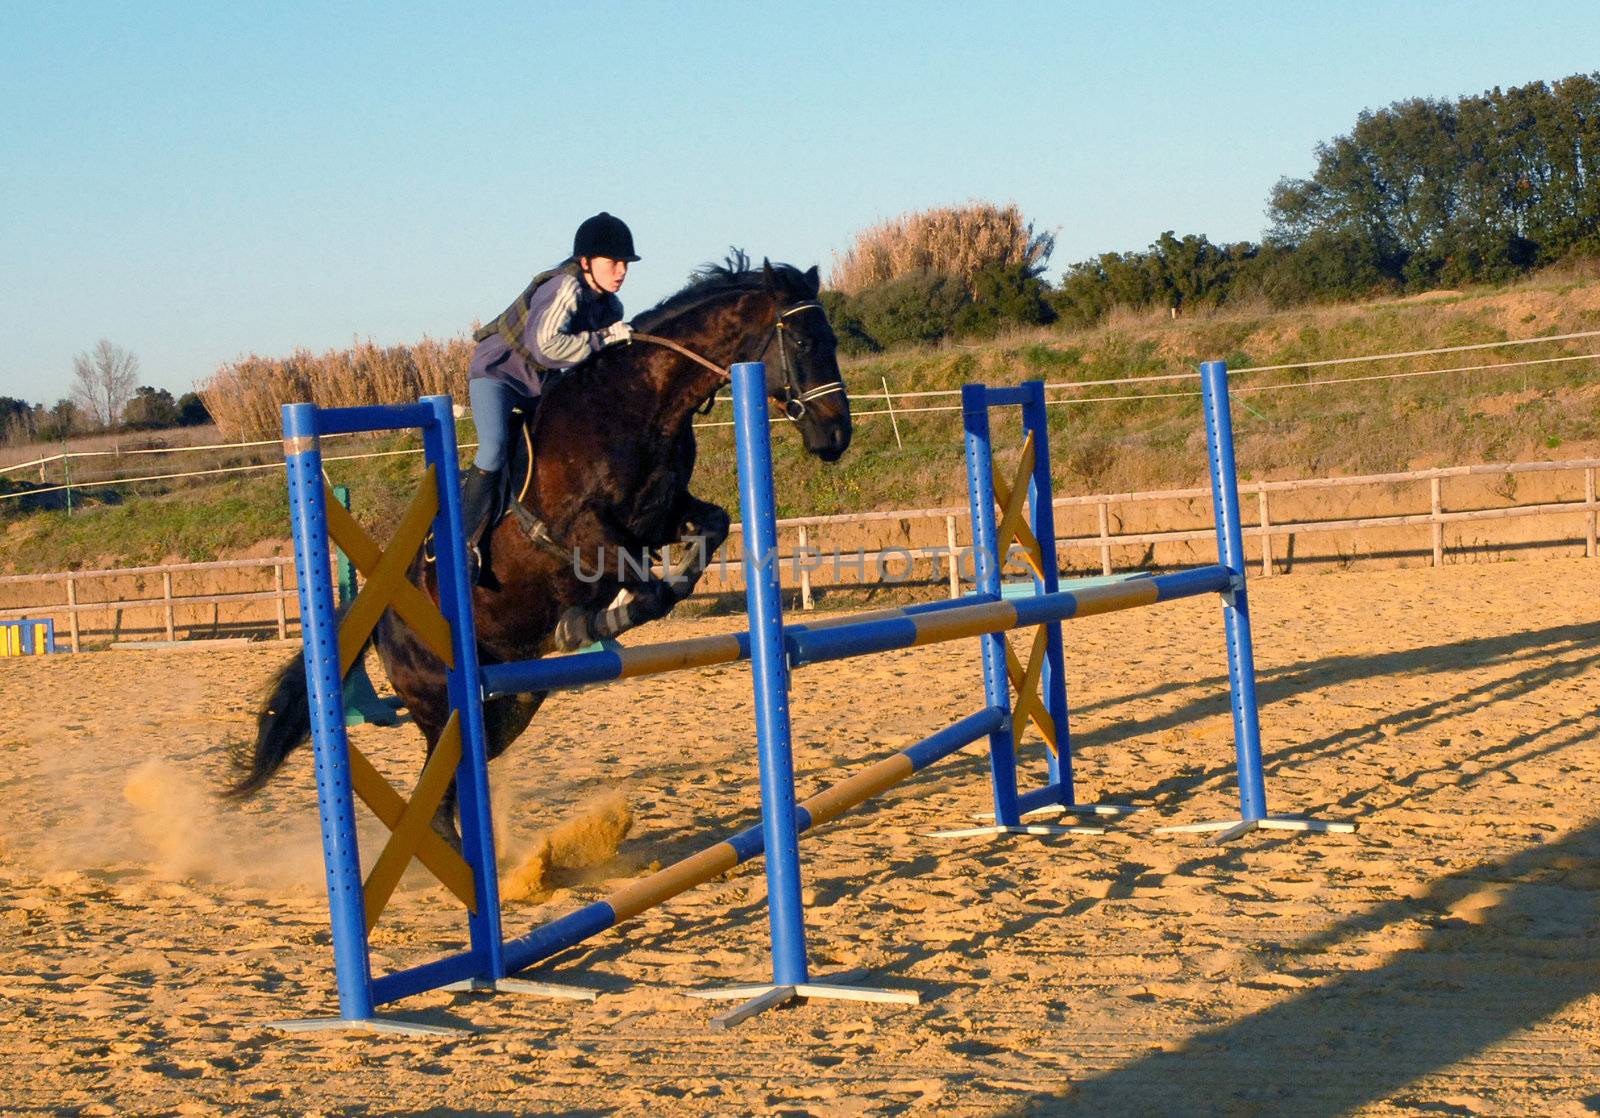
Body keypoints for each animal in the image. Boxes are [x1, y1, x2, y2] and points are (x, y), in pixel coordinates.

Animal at [233, 255, 857, 850]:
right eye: (804, 343)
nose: (836, 438)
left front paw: (628, 601)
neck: (639, 403)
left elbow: (708, 533)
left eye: (831, 340)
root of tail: (380, 615)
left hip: (510, 700)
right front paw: (592, 622)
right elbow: (644, 586)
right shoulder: (576, 531)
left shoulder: (660, 514)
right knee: (437, 801)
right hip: (440, 705)